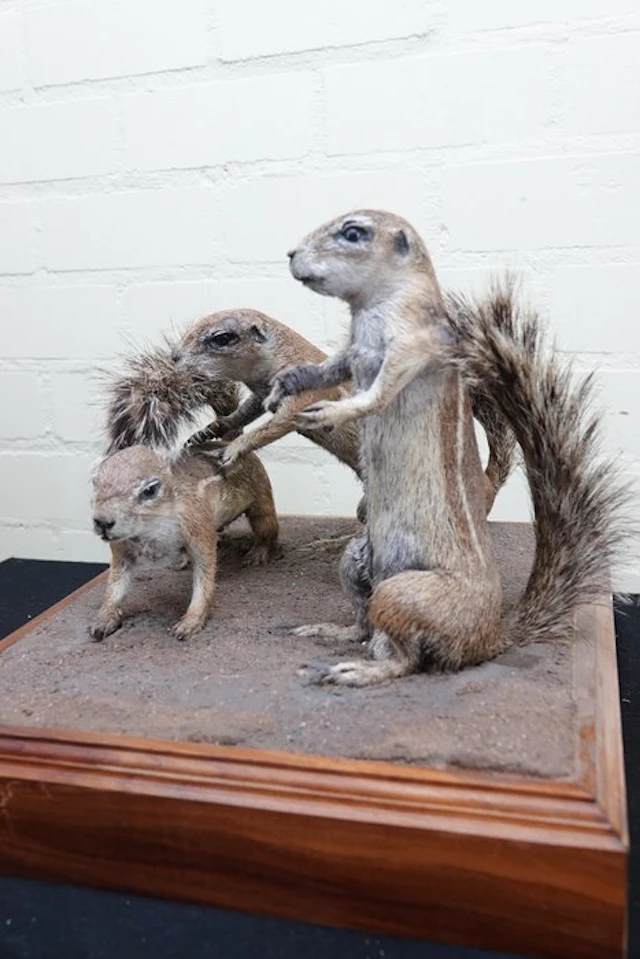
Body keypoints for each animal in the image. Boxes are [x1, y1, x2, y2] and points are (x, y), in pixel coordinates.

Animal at [90, 443, 279, 642]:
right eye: (95, 483)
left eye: (150, 490)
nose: (102, 522)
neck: (151, 530)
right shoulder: (121, 548)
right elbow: (115, 585)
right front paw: (103, 618)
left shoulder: (197, 527)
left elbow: (204, 577)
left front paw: (190, 622)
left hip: (261, 503)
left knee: (268, 531)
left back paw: (257, 553)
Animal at [265, 209, 628, 686]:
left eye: (353, 232)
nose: (291, 253)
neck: (369, 310)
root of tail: (489, 637)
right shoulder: (351, 352)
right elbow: (327, 368)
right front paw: (286, 384)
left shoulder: (412, 348)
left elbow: (375, 396)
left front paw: (329, 411)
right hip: (357, 560)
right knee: (367, 629)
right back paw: (331, 631)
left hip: (402, 592)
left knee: (406, 660)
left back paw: (358, 671)